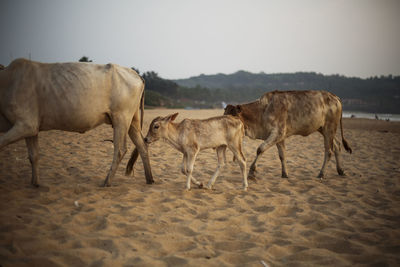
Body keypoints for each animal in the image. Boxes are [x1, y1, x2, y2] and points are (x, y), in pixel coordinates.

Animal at [0, 58, 154, 188]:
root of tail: (136, 75)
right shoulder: (32, 129)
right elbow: (34, 155)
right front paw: (35, 183)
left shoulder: (26, 125)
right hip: (132, 120)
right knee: (142, 145)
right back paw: (150, 179)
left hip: (121, 118)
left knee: (120, 150)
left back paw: (107, 182)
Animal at [225, 90, 354, 180]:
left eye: (232, 116)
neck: (263, 110)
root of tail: (335, 97)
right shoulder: (279, 137)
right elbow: (282, 155)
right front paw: (284, 174)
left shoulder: (278, 133)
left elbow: (260, 149)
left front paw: (252, 172)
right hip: (324, 129)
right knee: (337, 145)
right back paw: (341, 170)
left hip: (329, 128)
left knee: (329, 151)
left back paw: (321, 174)